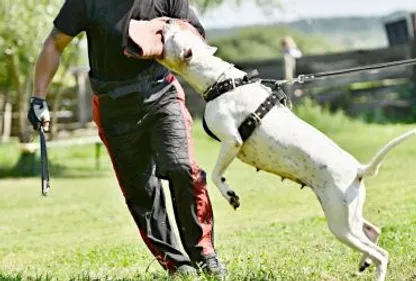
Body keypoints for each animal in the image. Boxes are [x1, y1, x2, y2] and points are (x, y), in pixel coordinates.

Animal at [135, 20, 414, 280]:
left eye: (170, 35)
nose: (167, 21)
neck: (221, 82)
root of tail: (358, 170)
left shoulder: (232, 141)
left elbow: (215, 175)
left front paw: (230, 194)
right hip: (348, 216)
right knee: (373, 231)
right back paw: (364, 261)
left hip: (341, 223)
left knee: (381, 254)